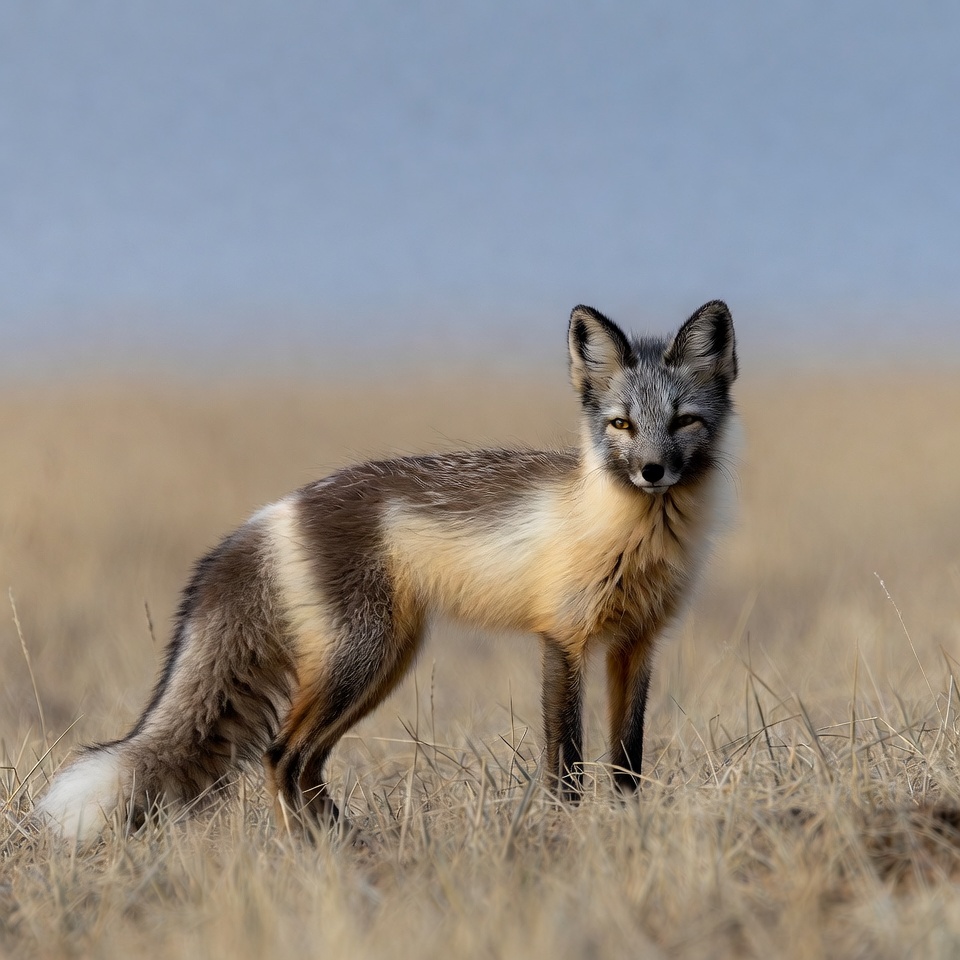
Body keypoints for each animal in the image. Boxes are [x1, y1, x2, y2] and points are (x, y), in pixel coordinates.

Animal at [35, 300, 737, 842]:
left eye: (683, 421)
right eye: (621, 424)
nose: (652, 471)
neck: (631, 534)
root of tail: (273, 510)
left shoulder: (635, 644)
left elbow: (627, 762)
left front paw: (627, 825)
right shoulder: (562, 639)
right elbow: (565, 762)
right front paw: (566, 832)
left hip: (381, 663)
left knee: (304, 764)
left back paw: (343, 845)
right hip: (361, 659)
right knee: (281, 755)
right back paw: (309, 856)